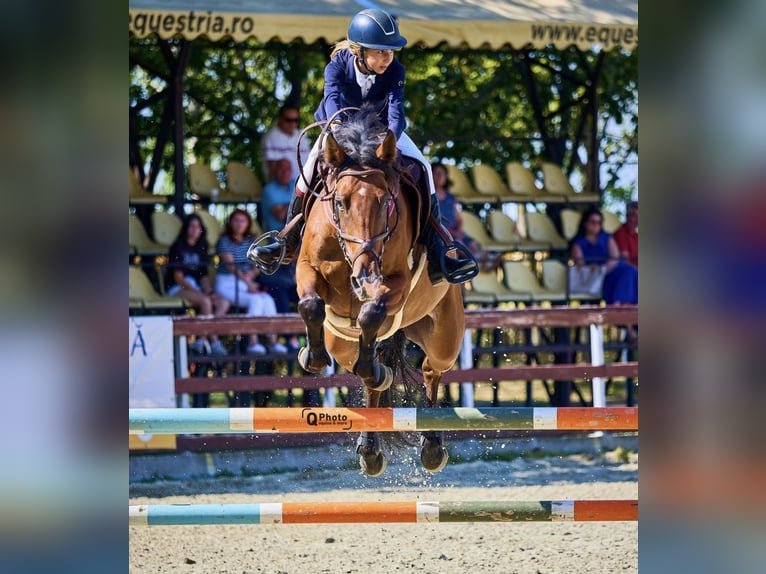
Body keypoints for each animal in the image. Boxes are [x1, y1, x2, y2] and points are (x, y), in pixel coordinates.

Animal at [293, 108, 465, 476]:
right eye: (340, 203)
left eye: (387, 201)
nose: (365, 274)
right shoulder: (307, 268)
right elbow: (311, 304)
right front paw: (312, 358)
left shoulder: (396, 280)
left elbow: (372, 311)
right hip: (342, 344)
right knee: (369, 374)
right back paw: (370, 449)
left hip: (444, 336)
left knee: (430, 368)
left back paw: (431, 446)